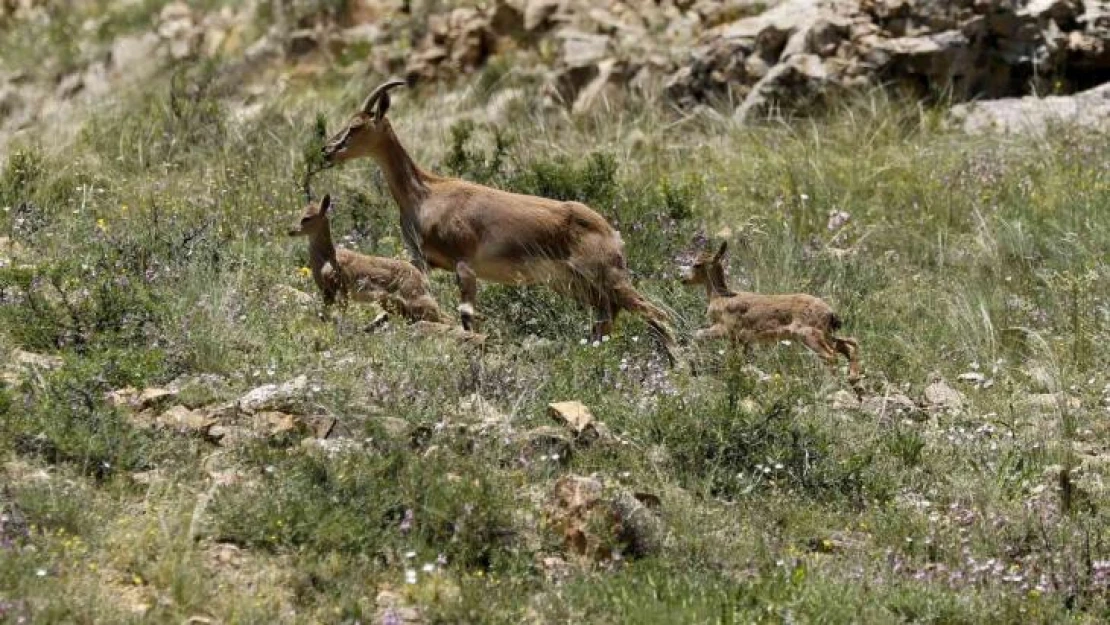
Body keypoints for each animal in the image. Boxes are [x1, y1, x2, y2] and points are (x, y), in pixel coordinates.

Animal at [290, 194, 446, 321]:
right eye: (299, 213)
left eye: (307, 218)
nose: (291, 231)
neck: (326, 258)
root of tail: (424, 281)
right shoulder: (327, 293)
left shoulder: (340, 290)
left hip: (415, 300)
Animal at [317, 78, 670, 361]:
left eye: (356, 126)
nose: (327, 151)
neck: (428, 194)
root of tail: (612, 232)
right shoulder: (421, 263)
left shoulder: (464, 264)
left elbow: (466, 317)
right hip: (577, 285)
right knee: (607, 319)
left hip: (608, 277)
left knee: (657, 314)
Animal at [679, 243, 861, 381]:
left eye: (697, 264)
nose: (683, 279)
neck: (720, 298)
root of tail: (831, 313)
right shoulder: (741, 338)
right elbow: (738, 359)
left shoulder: (727, 328)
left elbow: (697, 334)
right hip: (825, 333)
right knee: (848, 344)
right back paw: (853, 381)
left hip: (809, 333)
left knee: (831, 355)